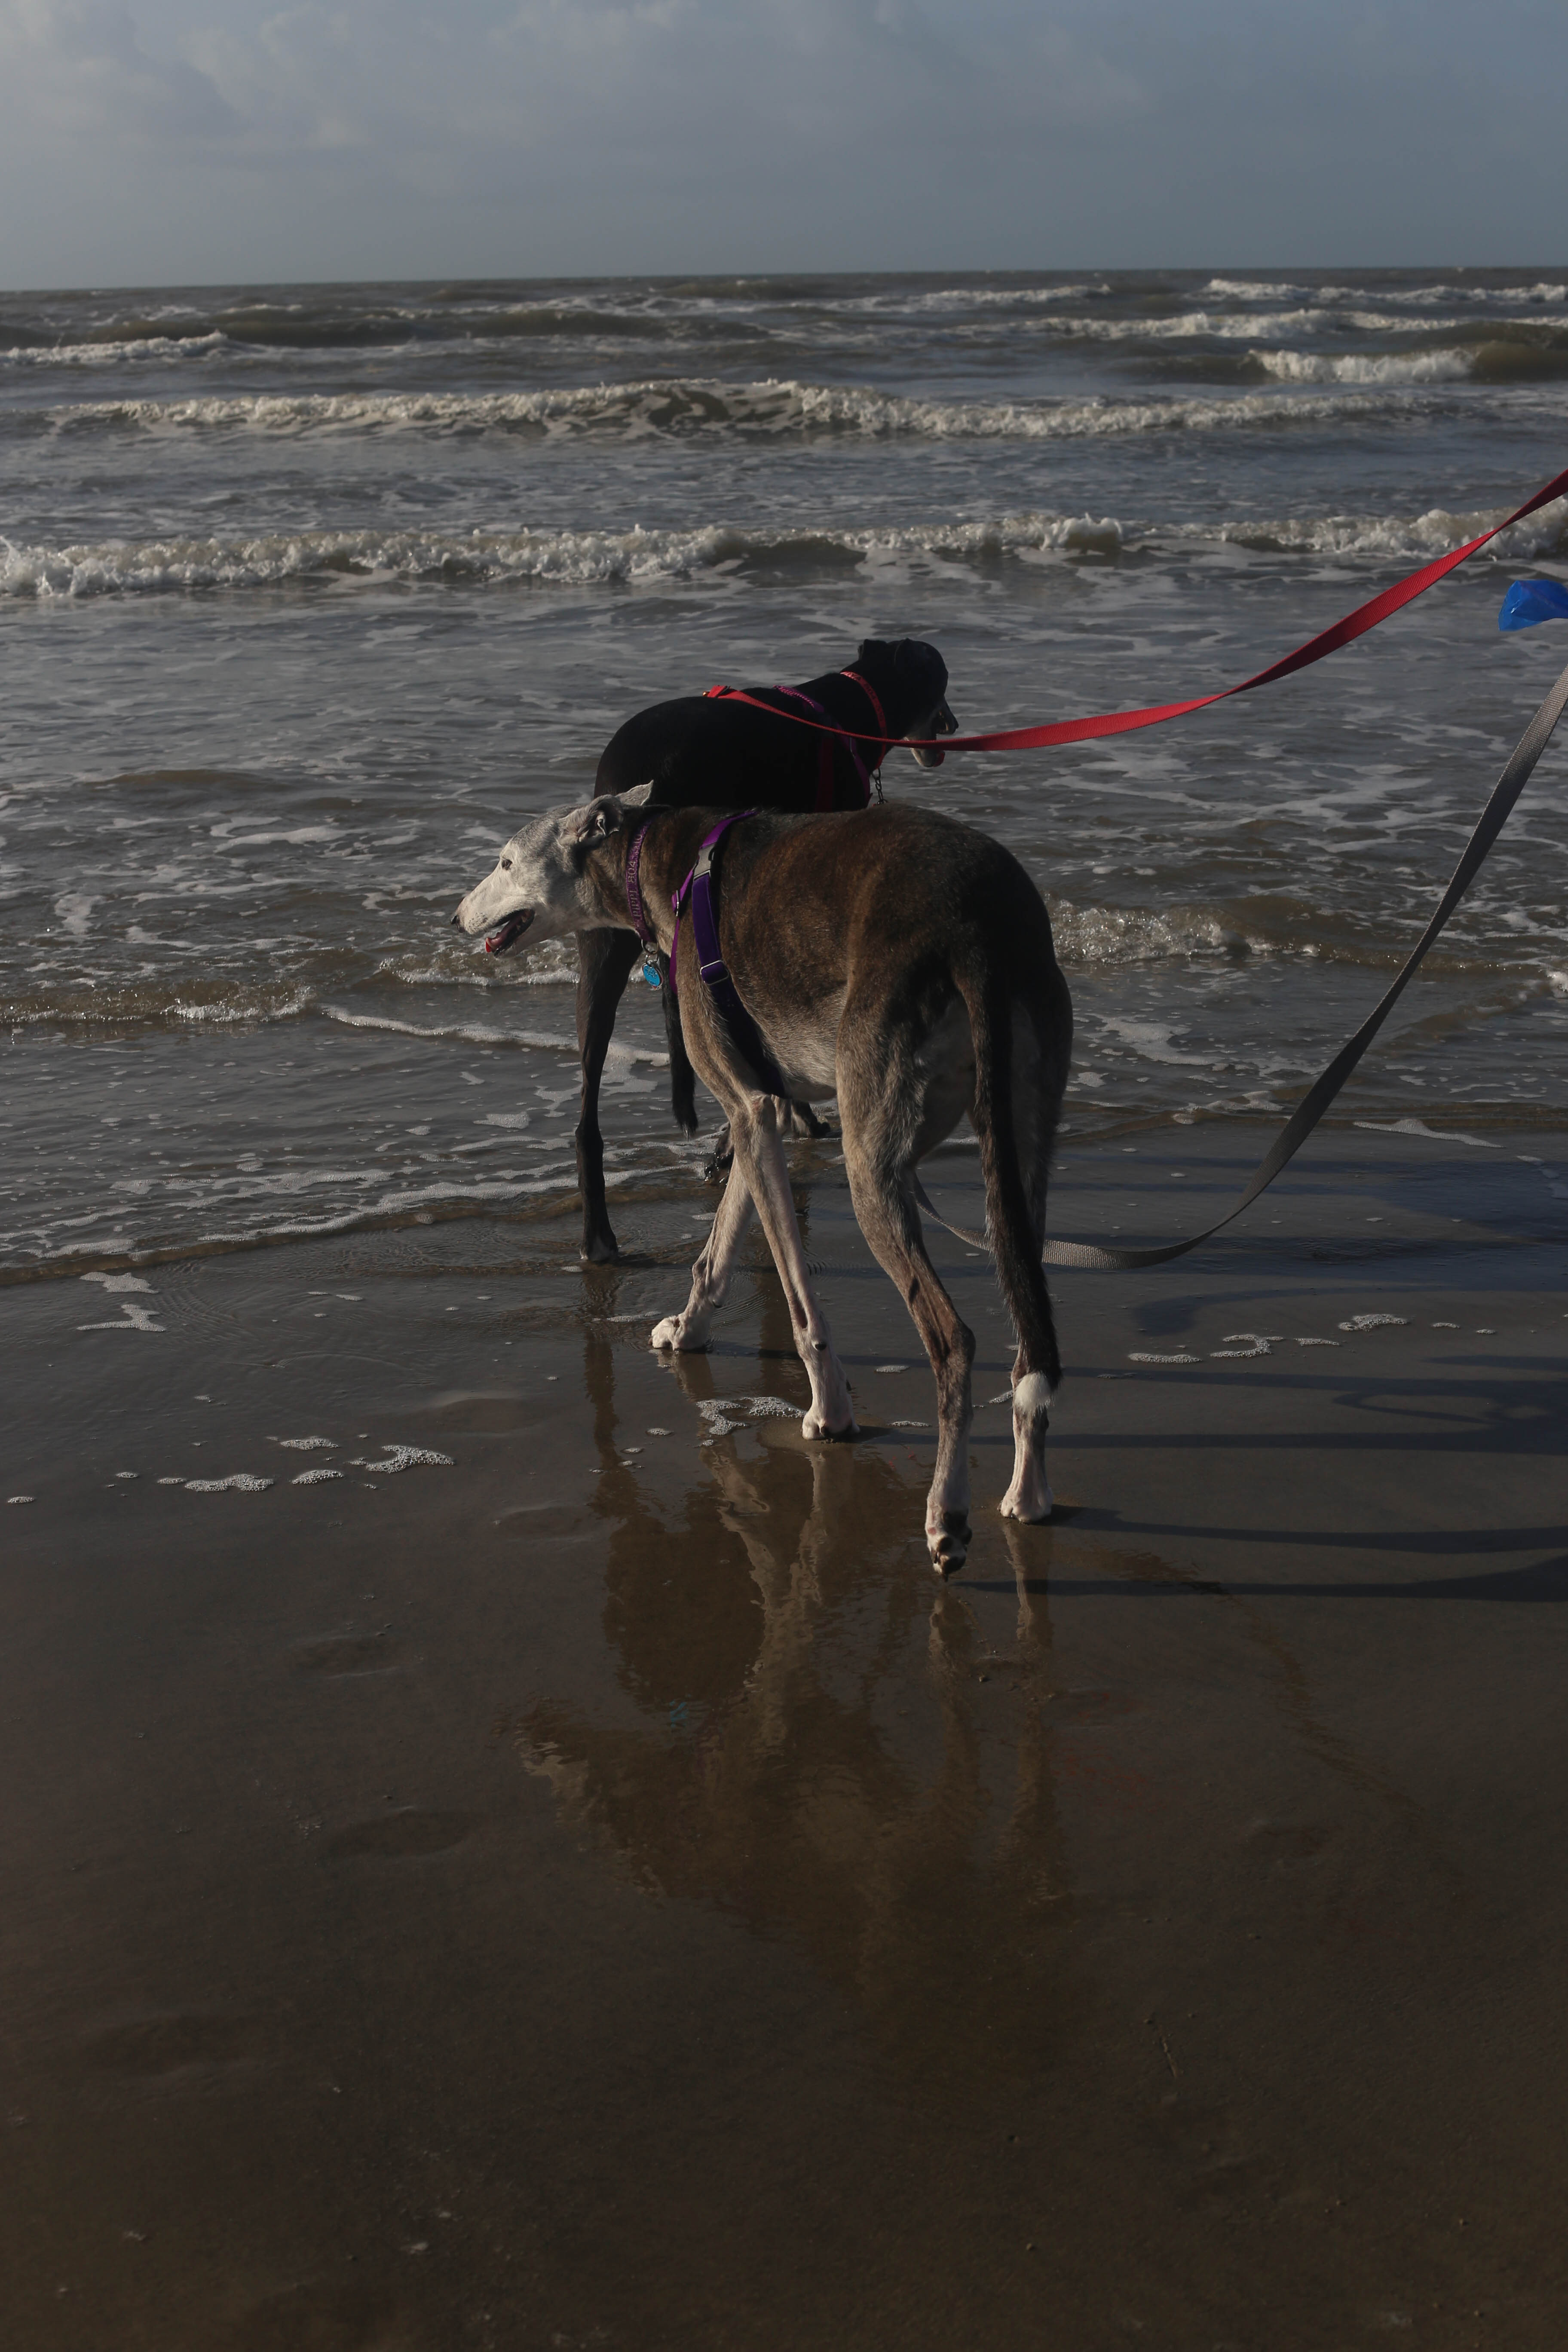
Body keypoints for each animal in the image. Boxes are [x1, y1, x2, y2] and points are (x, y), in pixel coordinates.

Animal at [454, 793, 1071, 1574]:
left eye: (506, 861)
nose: (455, 917)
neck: (660, 865)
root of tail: (978, 921)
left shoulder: (748, 1111)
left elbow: (802, 1306)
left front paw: (830, 1414)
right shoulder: (759, 1113)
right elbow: (716, 1251)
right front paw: (688, 1329)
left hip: (873, 1163)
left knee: (952, 1338)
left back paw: (945, 1512)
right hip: (1017, 1151)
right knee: (1029, 1335)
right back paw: (1029, 1493)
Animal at [563, 638, 956, 1263]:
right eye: (940, 679)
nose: (953, 723)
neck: (850, 707)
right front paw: (799, 1117)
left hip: (608, 939)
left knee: (586, 1112)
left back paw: (598, 1229)